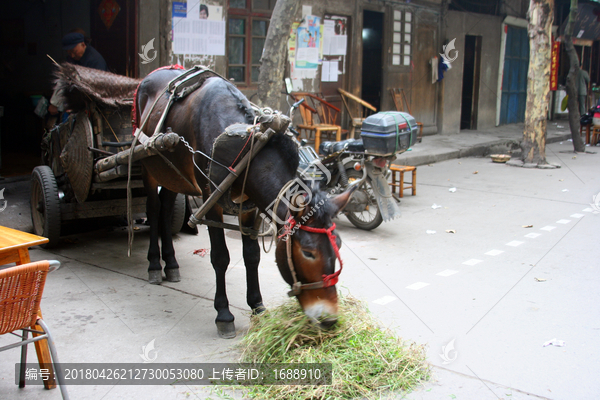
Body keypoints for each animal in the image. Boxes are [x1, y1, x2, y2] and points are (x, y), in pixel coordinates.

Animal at [134, 69, 354, 338]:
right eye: (308, 252)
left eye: (338, 245)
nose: (330, 319)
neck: (241, 145)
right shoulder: (212, 204)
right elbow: (220, 257)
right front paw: (223, 314)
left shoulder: (251, 208)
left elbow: (252, 255)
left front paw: (257, 307)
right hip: (148, 165)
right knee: (154, 209)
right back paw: (155, 265)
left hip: (172, 174)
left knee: (166, 207)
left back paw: (172, 264)